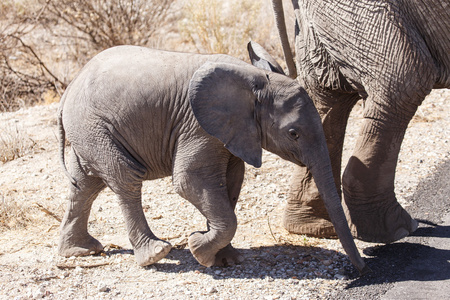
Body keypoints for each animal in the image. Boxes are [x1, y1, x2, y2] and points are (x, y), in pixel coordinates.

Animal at [58, 45, 368, 274]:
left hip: (88, 132)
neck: (254, 78)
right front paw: (198, 249)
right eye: (293, 134)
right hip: (94, 127)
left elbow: (230, 184)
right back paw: (155, 253)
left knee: (84, 185)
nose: (362, 269)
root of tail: (68, 89)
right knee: (125, 179)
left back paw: (81, 251)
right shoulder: (198, 125)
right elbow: (189, 181)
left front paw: (227, 260)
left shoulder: (230, 132)